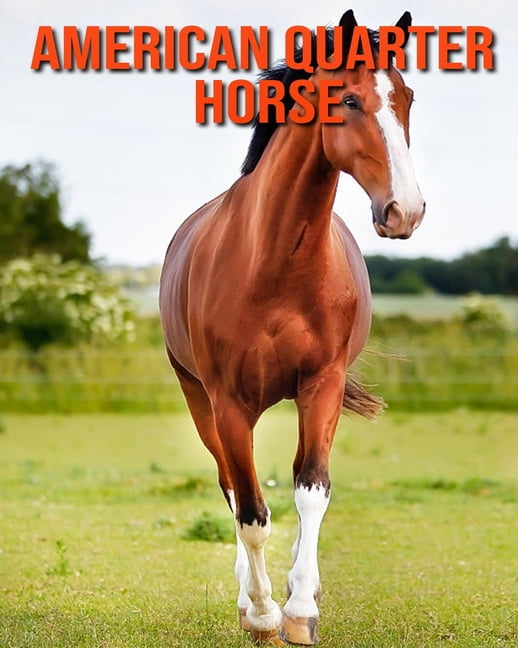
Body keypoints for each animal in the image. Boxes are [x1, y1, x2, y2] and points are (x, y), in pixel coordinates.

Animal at [159, 9, 425, 646]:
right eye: (348, 100)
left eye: (406, 98)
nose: (405, 210)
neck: (277, 263)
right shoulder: (228, 401)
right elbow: (251, 512)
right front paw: (261, 613)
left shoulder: (321, 385)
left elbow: (311, 491)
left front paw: (300, 608)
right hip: (202, 402)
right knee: (233, 489)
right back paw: (247, 597)